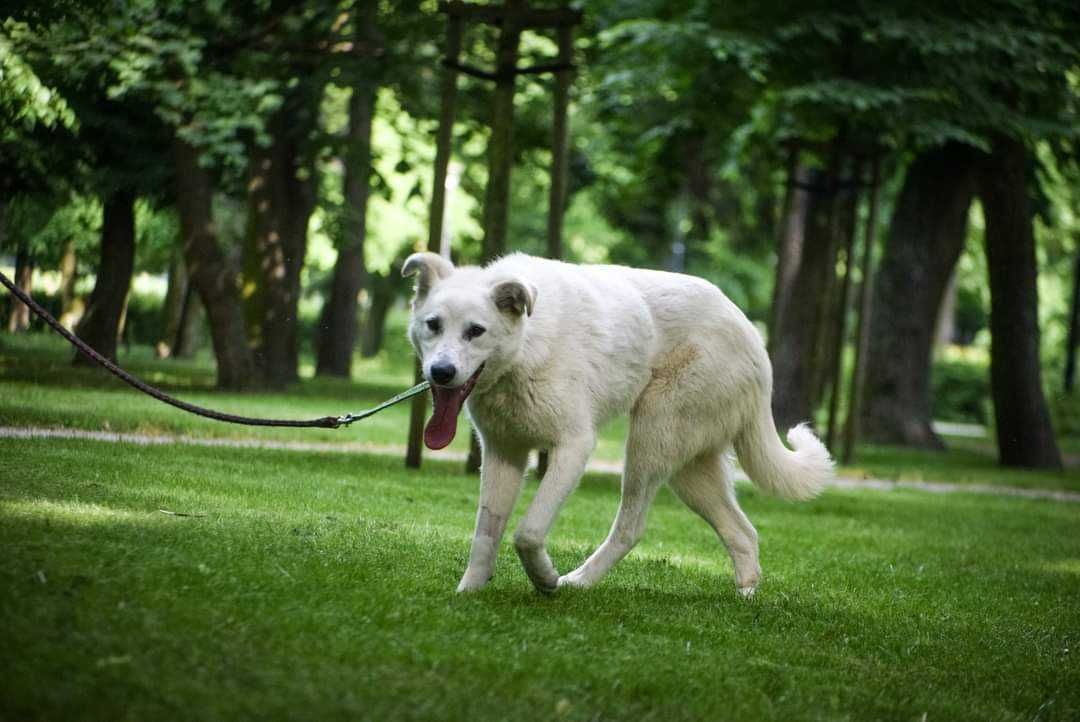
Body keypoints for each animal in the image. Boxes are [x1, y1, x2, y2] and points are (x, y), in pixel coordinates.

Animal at [406, 250, 833, 595]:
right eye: (433, 324)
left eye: (475, 331)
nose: (441, 373)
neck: (526, 346)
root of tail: (754, 340)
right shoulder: (503, 454)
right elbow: (486, 533)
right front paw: (470, 591)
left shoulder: (574, 447)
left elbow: (528, 531)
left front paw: (544, 578)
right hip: (690, 470)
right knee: (743, 533)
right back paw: (745, 597)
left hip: (650, 439)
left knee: (631, 528)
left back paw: (577, 582)